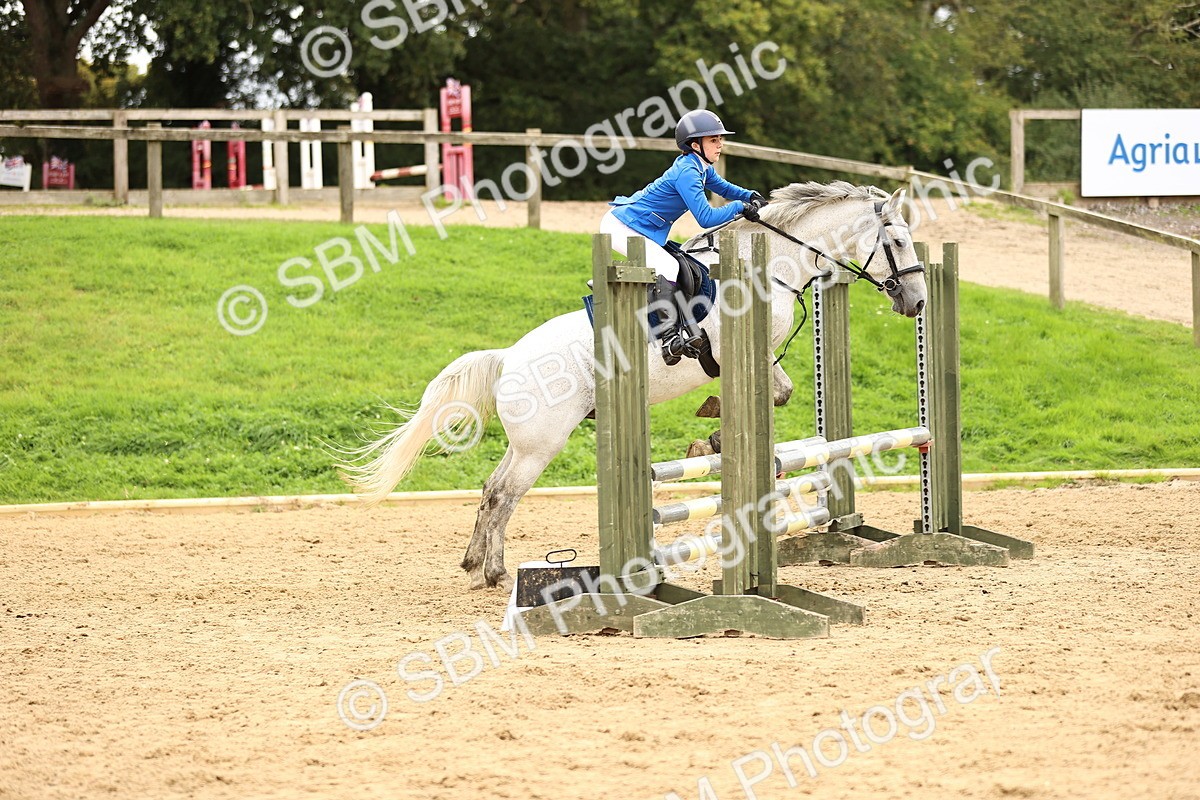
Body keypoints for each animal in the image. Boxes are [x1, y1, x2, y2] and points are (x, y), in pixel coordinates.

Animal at [337, 181, 926, 590]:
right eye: (897, 240)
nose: (917, 302)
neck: (772, 266)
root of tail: (507, 360)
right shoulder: (739, 349)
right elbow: (770, 393)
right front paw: (712, 437)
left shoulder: (760, 357)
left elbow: (780, 391)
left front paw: (711, 428)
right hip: (542, 443)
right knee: (504, 494)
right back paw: (495, 573)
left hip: (527, 442)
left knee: (490, 489)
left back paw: (475, 562)